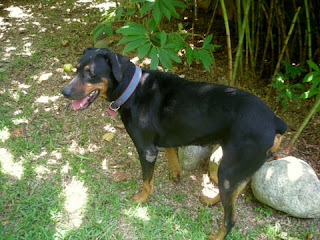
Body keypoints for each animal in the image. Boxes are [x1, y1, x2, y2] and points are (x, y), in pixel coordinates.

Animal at [62, 47, 288, 240]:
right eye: (77, 68)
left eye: (91, 73)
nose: (64, 92)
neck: (133, 89)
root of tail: (275, 121)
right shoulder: (166, 139)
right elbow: (172, 157)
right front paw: (176, 175)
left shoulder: (146, 150)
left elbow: (146, 181)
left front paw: (141, 198)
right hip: (237, 168)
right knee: (233, 194)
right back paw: (212, 200)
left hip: (231, 168)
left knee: (231, 217)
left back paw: (217, 235)